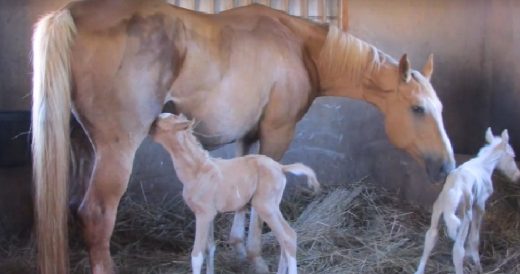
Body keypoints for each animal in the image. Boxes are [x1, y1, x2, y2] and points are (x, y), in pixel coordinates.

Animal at [150, 112, 320, 272]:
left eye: (158, 124)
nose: (148, 126)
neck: (198, 170)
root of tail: (281, 167)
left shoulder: (203, 214)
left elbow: (197, 256)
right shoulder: (210, 214)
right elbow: (209, 249)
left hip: (265, 206)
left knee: (288, 236)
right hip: (272, 206)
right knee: (284, 239)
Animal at [416, 128, 516, 274]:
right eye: (513, 156)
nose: (517, 175)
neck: (484, 164)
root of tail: (455, 189)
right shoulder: (479, 205)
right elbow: (474, 238)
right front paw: (478, 265)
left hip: (438, 209)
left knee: (431, 236)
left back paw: (419, 270)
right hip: (465, 216)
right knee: (458, 250)